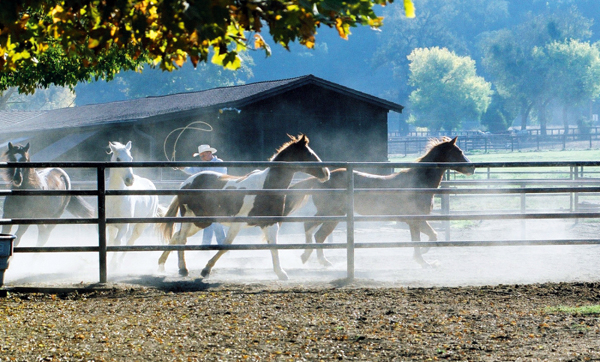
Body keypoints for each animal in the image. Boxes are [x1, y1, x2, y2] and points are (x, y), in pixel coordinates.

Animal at [157, 134, 330, 278]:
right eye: (308, 154)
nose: (326, 173)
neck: (266, 187)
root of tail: (186, 183)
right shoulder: (237, 223)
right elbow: (226, 246)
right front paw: (206, 270)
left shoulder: (270, 223)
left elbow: (274, 247)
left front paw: (281, 273)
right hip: (192, 218)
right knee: (181, 239)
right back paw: (182, 269)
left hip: (201, 221)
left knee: (176, 236)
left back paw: (162, 264)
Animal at [284, 136, 476, 268]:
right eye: (458, 152)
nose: (473, 167)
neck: (419, 181)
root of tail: (319, 180)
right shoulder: (415, 220)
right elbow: (423, 239)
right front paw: (423, 260)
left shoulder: (416, 220)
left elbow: (430, 237)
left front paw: (423, 259)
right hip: (330, 213)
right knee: (314, 230)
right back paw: (315, 259)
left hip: (334, 215)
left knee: (316, 232)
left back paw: (314, 259)